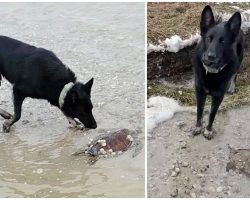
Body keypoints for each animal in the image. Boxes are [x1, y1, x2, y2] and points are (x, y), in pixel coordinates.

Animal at [192, 5, 243, 139]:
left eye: (223, 41)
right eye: (208, 38)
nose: (210, 56)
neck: (211, 72)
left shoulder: (218, 97)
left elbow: (212, 114)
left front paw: (208, 130)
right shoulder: (200, 92)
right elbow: (199, 111)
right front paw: (198, 127)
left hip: (240, 58)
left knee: (235, 74)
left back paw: (231, 87)